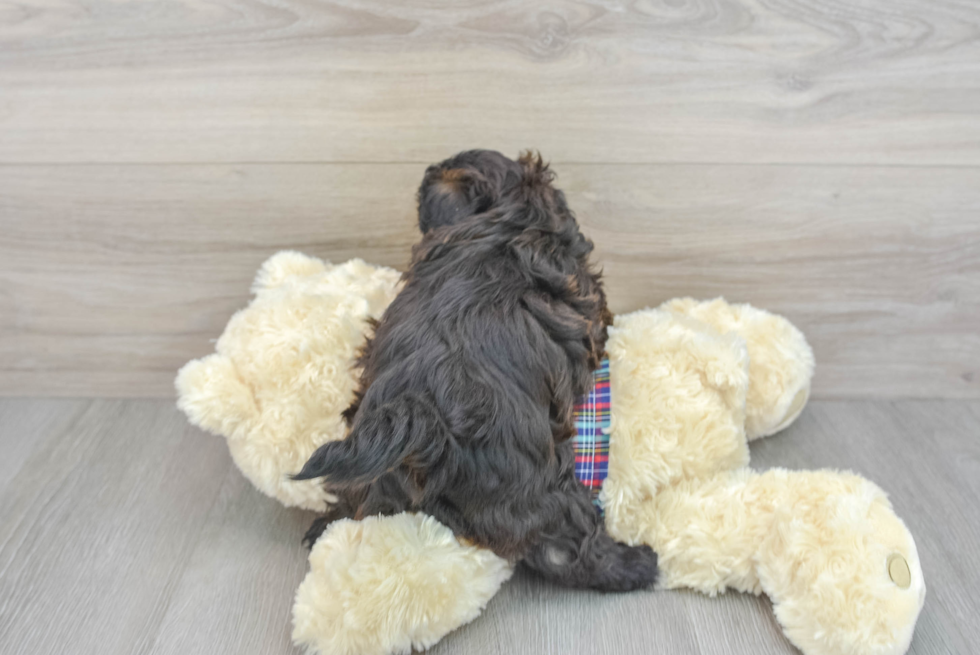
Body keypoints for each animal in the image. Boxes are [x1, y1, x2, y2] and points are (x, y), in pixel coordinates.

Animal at [294, 151, 656, 592]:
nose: (427, 171)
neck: (515, 211)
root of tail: (426, 417)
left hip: (378, 479)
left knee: (358, 506)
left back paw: (325, 528)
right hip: (538, 486)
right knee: (565, 546)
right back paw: (636, 565)